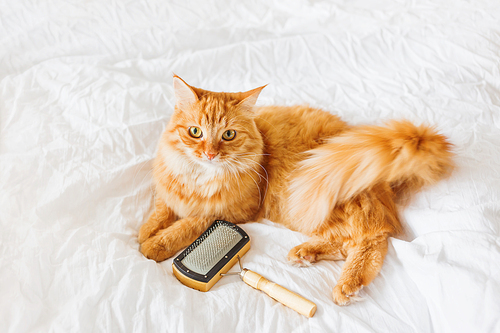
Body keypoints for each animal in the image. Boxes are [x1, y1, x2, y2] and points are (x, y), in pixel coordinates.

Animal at [138, 74, 454, 304]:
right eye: (195, 132)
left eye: (228, 135)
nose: (210, 154)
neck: (199, 177)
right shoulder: (168, 191)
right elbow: (161, 211)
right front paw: (145, 232)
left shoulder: (231, 212)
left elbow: (186, 226)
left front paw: (153, 245)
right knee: (348, 241)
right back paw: (306, 254)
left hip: (312, 199)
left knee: (371, 238)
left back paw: (346, 285)